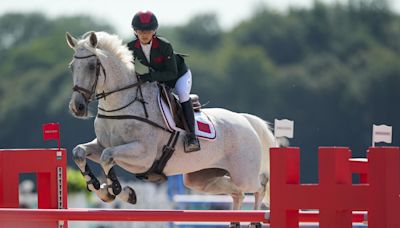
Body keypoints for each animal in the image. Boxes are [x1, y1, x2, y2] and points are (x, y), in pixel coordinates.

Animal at [66, 30, 278, 228]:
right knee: (237, 193)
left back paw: (255, 221)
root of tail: (245, 120)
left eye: (92, 66)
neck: (122, 104)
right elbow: (79, 152)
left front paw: (119, 191)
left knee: (259, 187)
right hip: (200, 179)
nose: (78, 107)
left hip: (244, 175)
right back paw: (235, 221)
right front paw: (101, 189)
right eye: (72, 67)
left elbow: (107, 157)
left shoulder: (142, 156)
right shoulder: (102, 144)